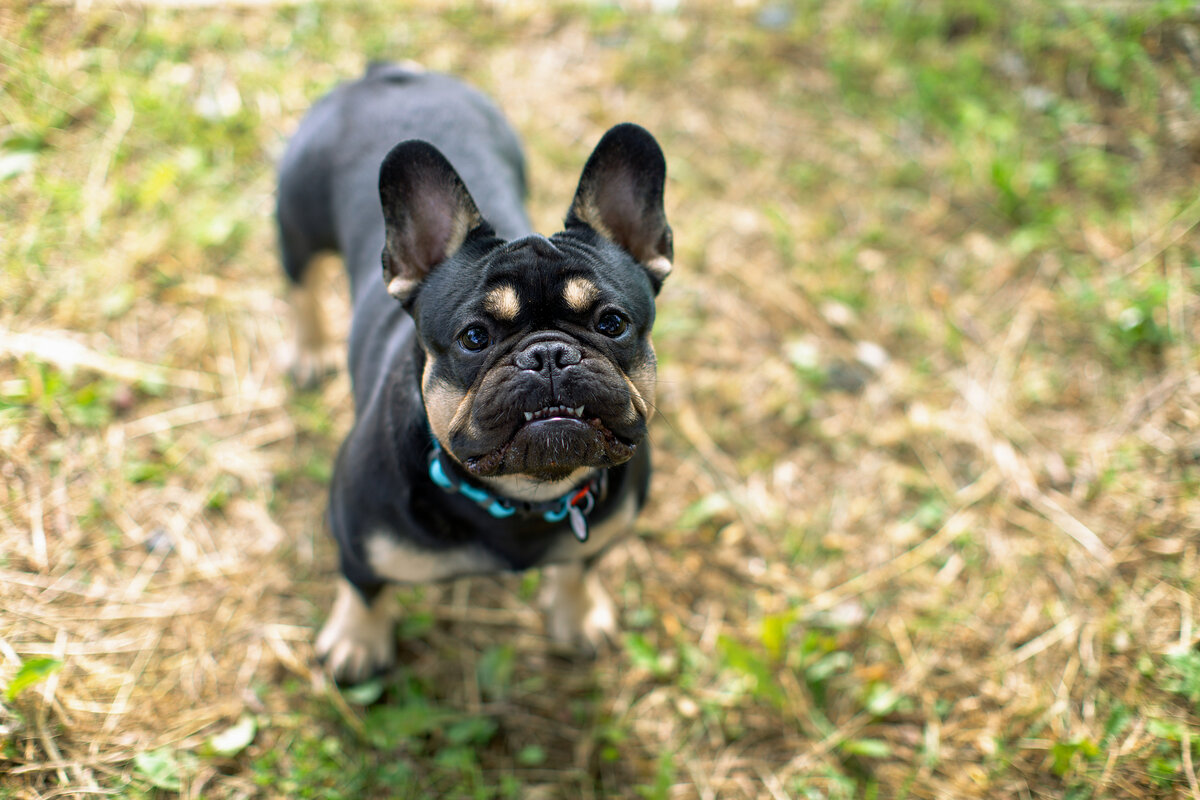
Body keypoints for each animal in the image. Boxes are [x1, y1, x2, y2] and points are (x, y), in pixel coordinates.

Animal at [276, 62, 676, 681]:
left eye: (611, 323)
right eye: (474, 338)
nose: (548, 353)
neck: (520, 497)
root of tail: (389, 73)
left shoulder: (604, 530)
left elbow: (581, 564)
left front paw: (578, 614)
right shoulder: (357, 533)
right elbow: (364, 585)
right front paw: (357, 642)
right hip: (295, 223)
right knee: (300, 286)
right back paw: (309, 348)